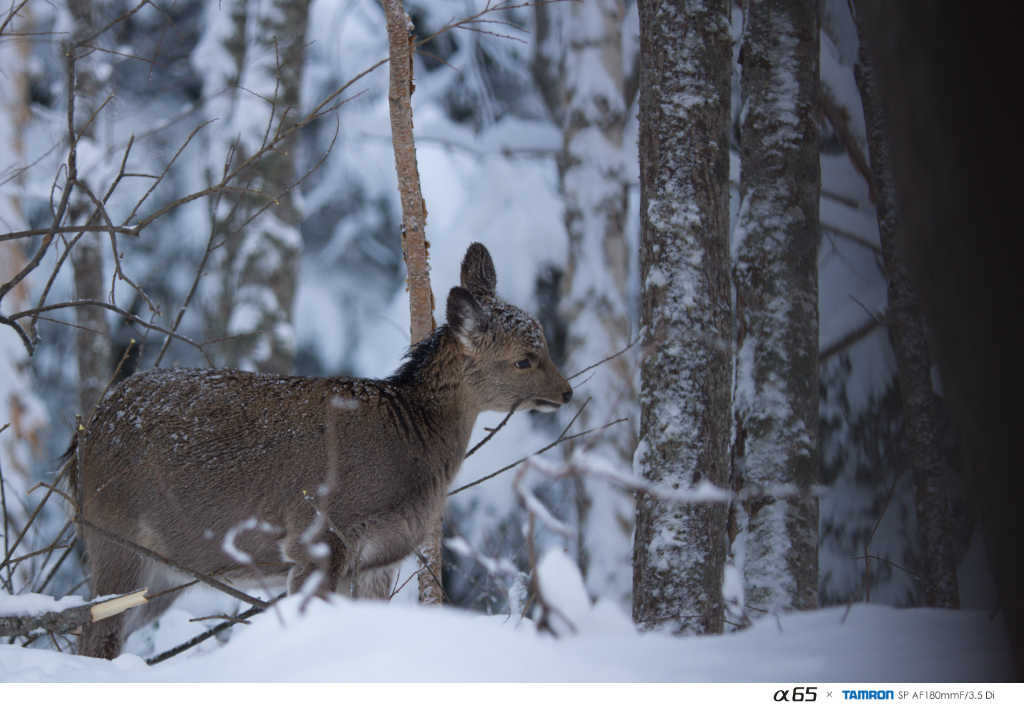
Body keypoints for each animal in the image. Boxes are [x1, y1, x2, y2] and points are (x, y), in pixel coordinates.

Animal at [61, 243, 577, 659]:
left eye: (545, 345)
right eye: (523, 360)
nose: (567, 392)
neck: (409, 443)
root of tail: (81, 442)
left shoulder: (382, 554)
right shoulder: (319, 532)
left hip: (164, 570)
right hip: (115, 533)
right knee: (96, 633)